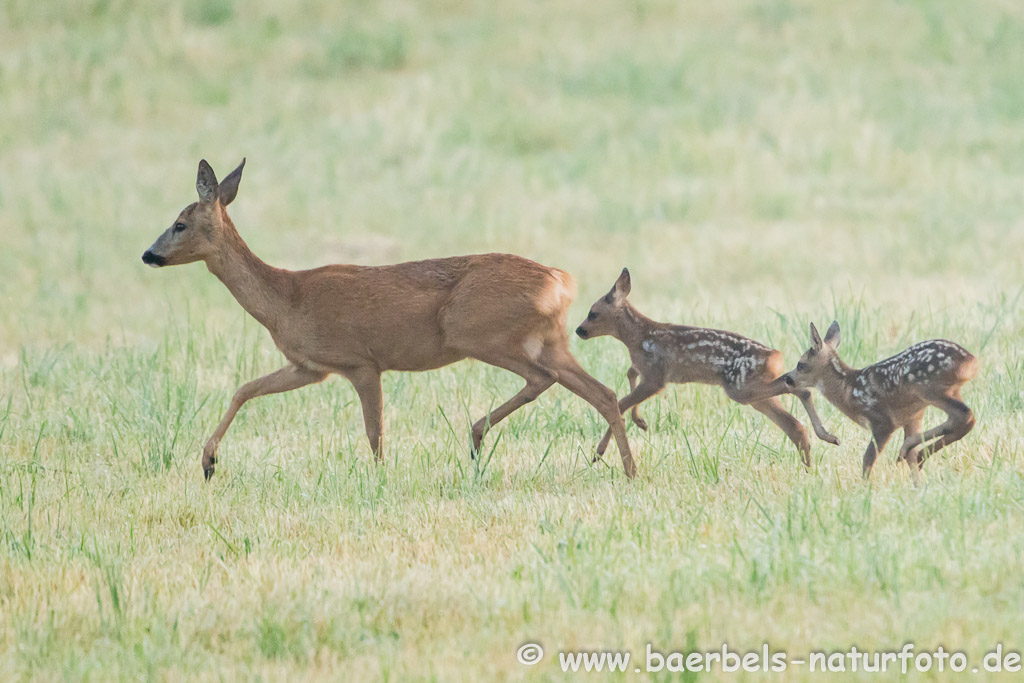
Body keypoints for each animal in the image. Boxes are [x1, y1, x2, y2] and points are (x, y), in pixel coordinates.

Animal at [140, 160, 634, 481]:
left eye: (180, 223)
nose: (148, 254)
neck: (285, 300)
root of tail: (560, 281)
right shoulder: (311, 366)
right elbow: (244, 389)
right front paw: (208, 463)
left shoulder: (360, 361)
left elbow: (374, 433)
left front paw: (381, 481)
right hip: (551, 339)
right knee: (603, 392)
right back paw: (628, 470)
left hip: (480, 332)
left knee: (543, 379)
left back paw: (476, 435)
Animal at [573, 270, 835, 466]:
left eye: (593, 313)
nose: (579, 330)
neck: (638, 337)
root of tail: (774, 356)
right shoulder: (645, 372)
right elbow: (628, 378)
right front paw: (641, 422)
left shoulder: (656, 376)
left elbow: (620, 404)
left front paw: (598, 453)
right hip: (754, 394)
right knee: (795, 425)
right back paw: (816, 455)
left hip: (739, 388)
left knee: (800, 390)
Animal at [778, 321, 978, 479]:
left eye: (801, 364)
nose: (788, 379)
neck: (848, 389)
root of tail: (970, 361)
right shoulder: (913, 416)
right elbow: (910, 461)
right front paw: (918, 488)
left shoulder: (882, 421)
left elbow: (868, 459)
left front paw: (864, 491)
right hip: (943, 392)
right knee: (965, 419)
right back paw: (914, 453)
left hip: (927, 387)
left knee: (963, 414)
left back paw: (913, 451)